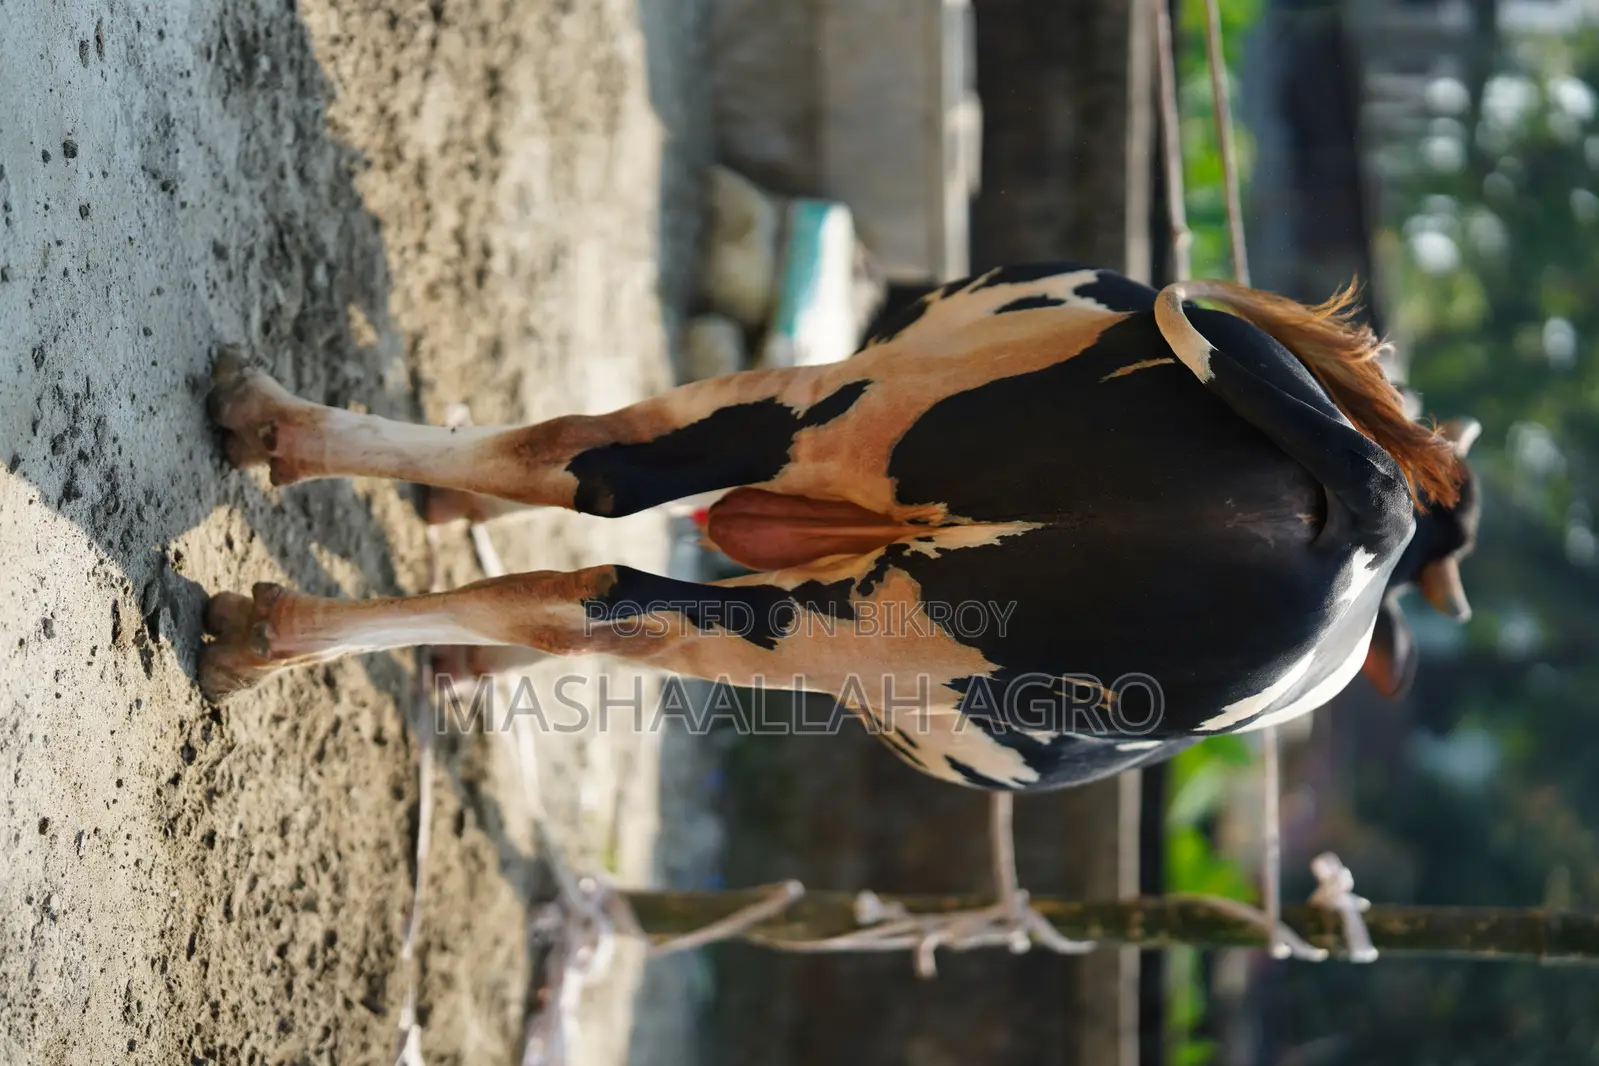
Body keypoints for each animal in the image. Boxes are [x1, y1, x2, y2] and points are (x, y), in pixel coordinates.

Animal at [199, 261, 1477, 798]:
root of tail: (1371, 513)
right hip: (853, 512)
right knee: (599, 502)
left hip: (843, 475)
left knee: (598, 527)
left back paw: (269, 576)